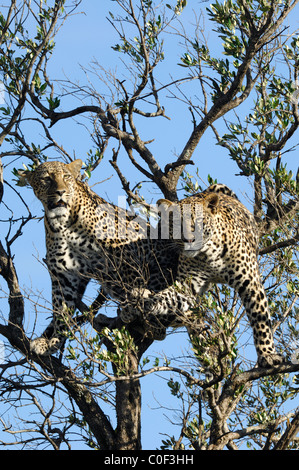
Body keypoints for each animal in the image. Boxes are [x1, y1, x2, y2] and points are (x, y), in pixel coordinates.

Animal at [19, 160, 179, 354]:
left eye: (66, 177)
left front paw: (132, 306)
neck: (62, 224)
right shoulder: (64, 274)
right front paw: (55, 339)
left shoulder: (122, 249)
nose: (61, 192)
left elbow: (131, 280)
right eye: (46, 179)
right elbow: (61, 309)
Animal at [120, 184, 284, 368]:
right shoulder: (187, 286)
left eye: (197, 222)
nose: (189, 240)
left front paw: (268, 355)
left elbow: (260, 319)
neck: (209, 254)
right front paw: (146, 302)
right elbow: (166, 297)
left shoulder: (250, 283)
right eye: (177, 224)